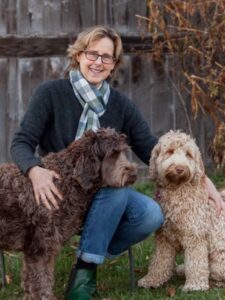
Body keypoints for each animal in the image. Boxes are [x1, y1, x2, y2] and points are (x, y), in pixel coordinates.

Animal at [0, 127, 137, 298]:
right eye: (113, 154)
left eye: (124, 152)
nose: (134, 174)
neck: (67, 179)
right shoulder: (41, 247)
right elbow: (42, 281)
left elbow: (31, 282)